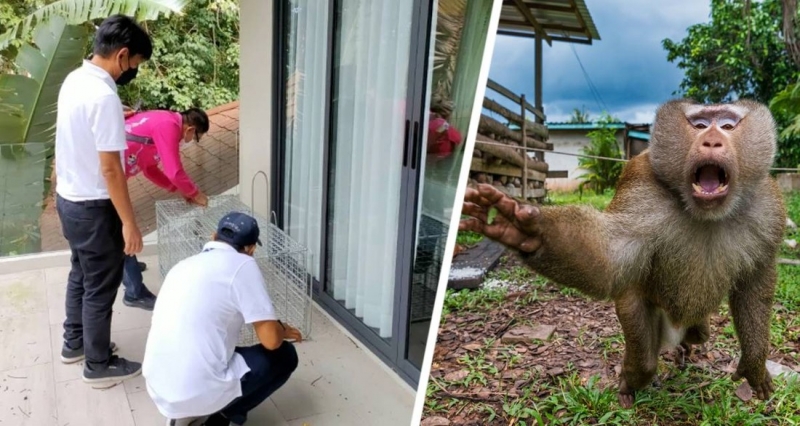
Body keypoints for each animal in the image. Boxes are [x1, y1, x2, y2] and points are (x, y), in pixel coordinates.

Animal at [460, 98, 784, 408]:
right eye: (700, 125)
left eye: (728, 126)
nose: (712, 141)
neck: (707, 214)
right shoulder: (642, 188)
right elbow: (612, 256)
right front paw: (527, 232)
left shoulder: (767, 206)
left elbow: (755, 286)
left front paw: (754, 365)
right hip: (633, 304)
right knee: (645, 360)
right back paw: (632, 382)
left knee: (698, 332)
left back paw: (688, 342)